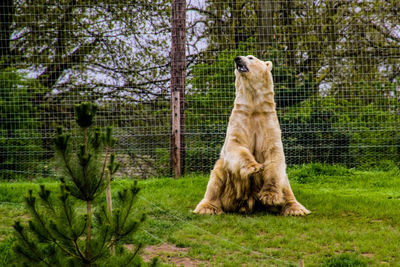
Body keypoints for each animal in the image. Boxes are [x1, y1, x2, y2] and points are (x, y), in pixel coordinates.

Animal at [194, 55, 310, 217]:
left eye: (251, 57)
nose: (237, 58)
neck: (254, 106)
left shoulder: (268, 121)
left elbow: (273, 153)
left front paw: (270, 197)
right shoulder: (240, 117)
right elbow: (235, 145)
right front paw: (255, 167)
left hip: (283, 181)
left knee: (285, 186)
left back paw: (295, 209)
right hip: (223, 172)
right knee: (215, 182)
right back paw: (207, 208)